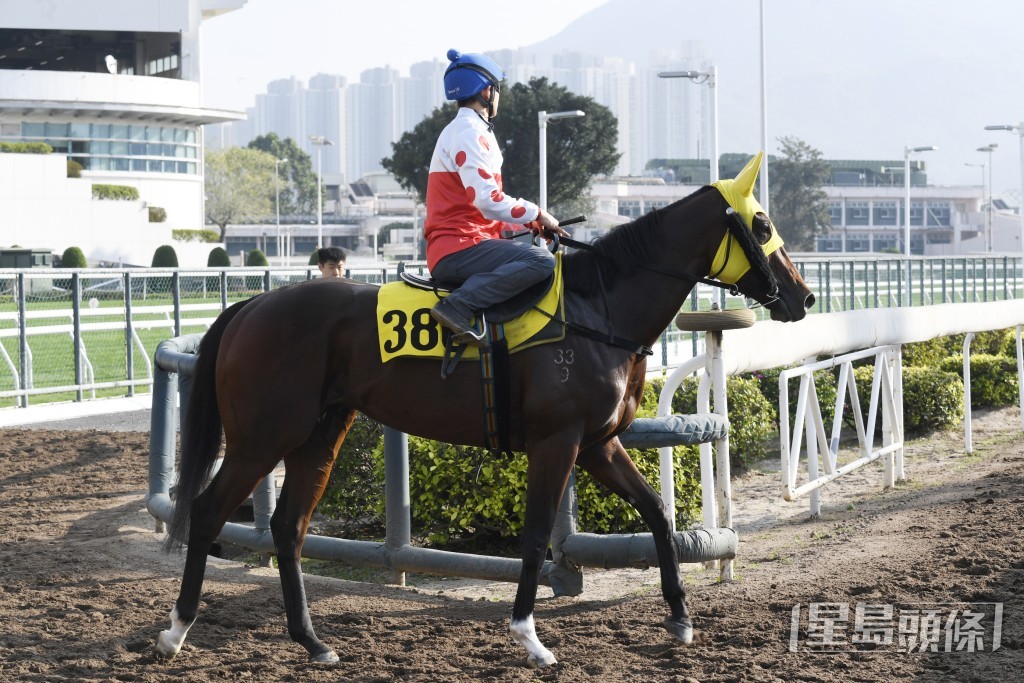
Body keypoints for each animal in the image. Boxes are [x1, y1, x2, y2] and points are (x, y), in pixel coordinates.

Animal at [155, 152, 814, 669]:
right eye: (760, 222)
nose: (804, 296)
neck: (594, 310)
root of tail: (252, 306)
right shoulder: (557, 443)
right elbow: (536, 536)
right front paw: (530, 637)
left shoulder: (598, 444)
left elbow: (657, 514)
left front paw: (679, 616)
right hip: (262, 438)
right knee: (209, 510)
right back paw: (177, 629)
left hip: (319, 435)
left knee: (289, 527)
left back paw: (312, 641)